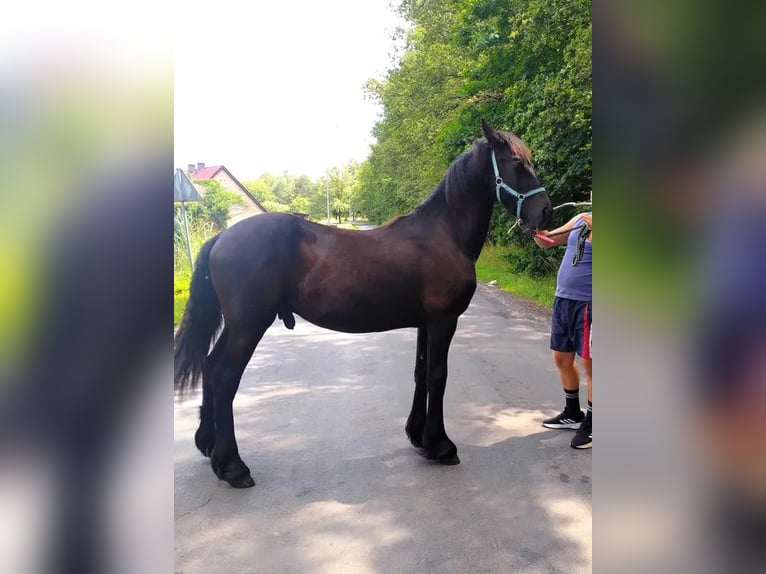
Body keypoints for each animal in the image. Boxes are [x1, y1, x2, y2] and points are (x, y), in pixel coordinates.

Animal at [176, 122, 552, 490]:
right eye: (516, 164)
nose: (546, 211)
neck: (443, 233)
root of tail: (222, 236)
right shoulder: (443, 321)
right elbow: (438, 376)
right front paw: (441, 445)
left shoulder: (424, 323)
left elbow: (420, 373)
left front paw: (419, 437)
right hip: (249, 325)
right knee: (225, 376)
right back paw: (233, 466)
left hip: (237, 326)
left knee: (210, 367)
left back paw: (209, 445)